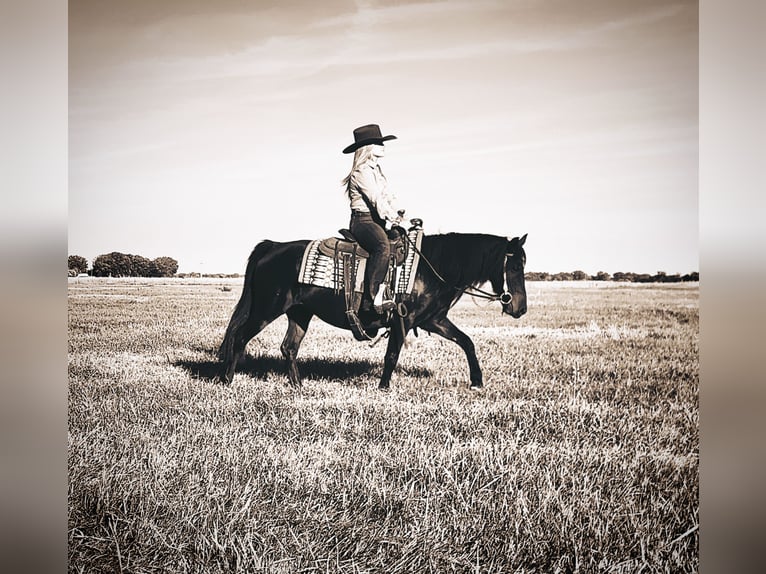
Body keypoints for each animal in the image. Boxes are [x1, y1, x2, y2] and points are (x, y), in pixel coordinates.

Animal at [219, 234, 524, 392]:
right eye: (513, 266)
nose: (520, 308)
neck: (430, 268)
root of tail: (273, 246)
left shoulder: (434, 320)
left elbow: (467, 342)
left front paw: (477, 381)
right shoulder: (404, 319)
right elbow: (392, 355)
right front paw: (384, 387)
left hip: (299, 313)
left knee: (289, 347)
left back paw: (298, 386)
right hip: (266, 309)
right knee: (240, 336)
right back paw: (227, 380)